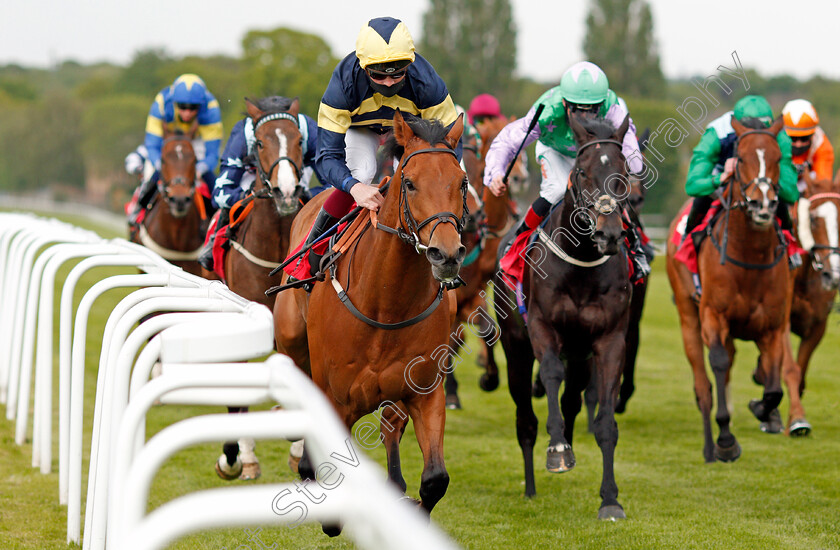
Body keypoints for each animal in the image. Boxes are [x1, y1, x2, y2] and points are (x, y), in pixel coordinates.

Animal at [276, 110, 470, 528]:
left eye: (462, 182)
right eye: (410, 183)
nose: (446, 253)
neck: (387, 302)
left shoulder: (425, 392)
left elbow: (435, 479)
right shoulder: (337, 398)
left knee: (391, 426)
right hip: (293, 345)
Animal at [492, 114, 636, 520]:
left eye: (623, 172)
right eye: (584, 172)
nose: (609, 233)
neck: (582, 263)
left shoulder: (609, 340)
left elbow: (605, 421)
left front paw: (610, 499)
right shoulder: (543, 328)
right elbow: (551, 375)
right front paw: (556, 449)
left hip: (580, 352)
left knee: (572, 399)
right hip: (516, 348)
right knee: (525, 417)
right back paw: (531, 484)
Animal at [668, 118, 812, 468]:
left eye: (778, 158)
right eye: (742, 158)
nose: (763, 204)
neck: (749, 255)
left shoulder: (772, 326)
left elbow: (774, 386)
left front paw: (764, 411)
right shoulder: (713, 317)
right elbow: (719, 364)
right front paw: (726, 441)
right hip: (688, 318)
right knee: (704, 385)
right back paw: (710, 446)